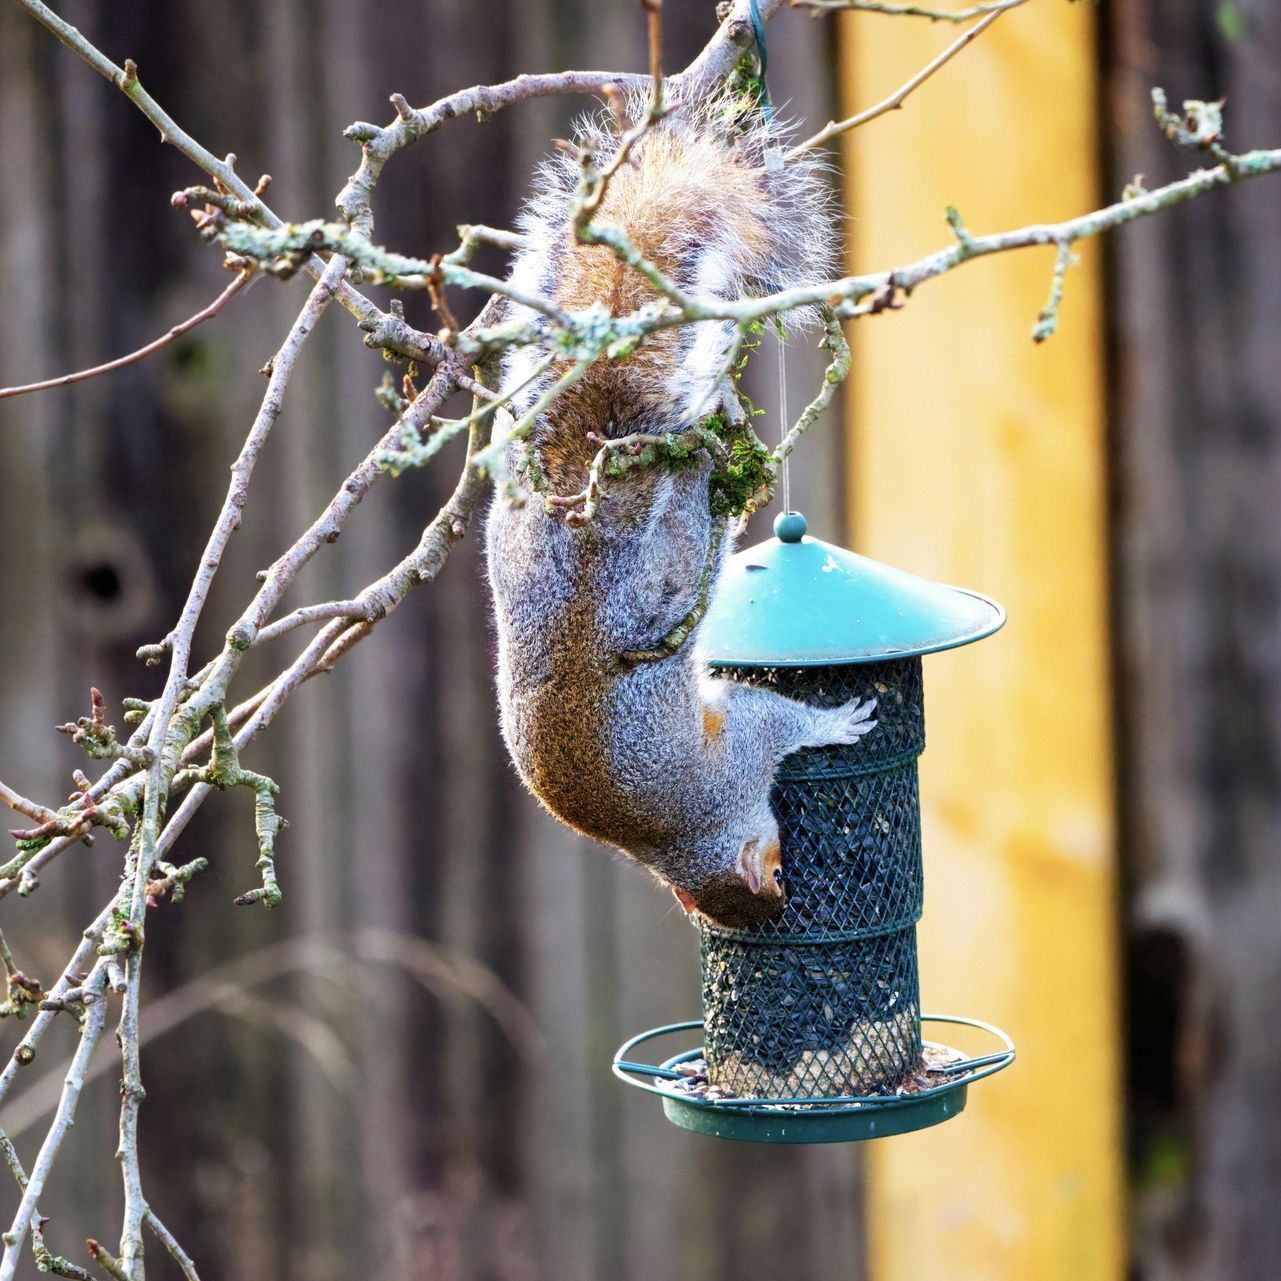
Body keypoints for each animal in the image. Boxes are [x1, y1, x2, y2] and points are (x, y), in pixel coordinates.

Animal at [486, 90, 877, 929]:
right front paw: (839, 722)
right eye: (776, 874)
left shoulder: (732, 757)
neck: (685, 834)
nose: (781, 899)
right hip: (665, 536)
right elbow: (775, 718)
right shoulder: (736, 760)